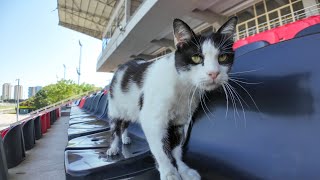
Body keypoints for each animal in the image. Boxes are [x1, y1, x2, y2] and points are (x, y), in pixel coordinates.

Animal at [106, 16, 236, 180]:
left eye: (222, 57)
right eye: (196, 57)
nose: (214, 73)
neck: (183, 87)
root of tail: (123, 66)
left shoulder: (181, 122)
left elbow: (176, 149)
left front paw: (183, 169)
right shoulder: (152, 120)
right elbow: (161, 150)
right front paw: (169, 172)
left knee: (124, 125)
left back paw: (125, 138)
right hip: (115, 108)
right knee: (115, 128)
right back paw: (114, 147)